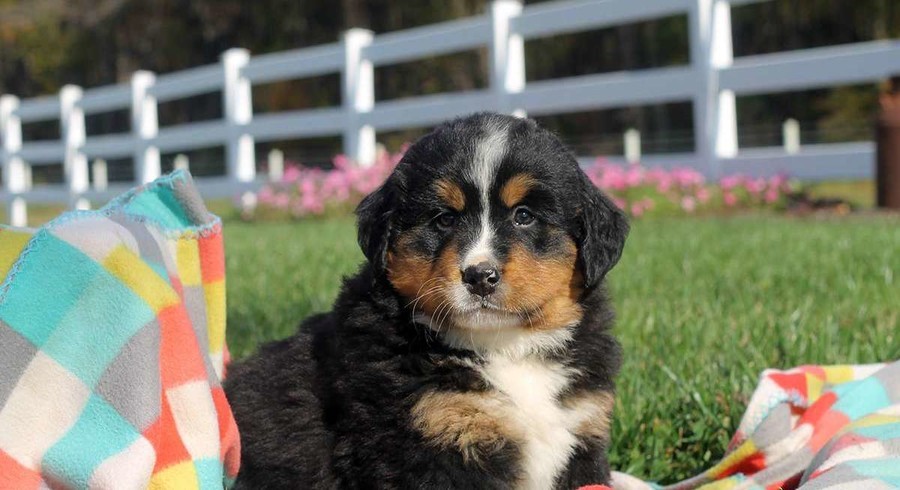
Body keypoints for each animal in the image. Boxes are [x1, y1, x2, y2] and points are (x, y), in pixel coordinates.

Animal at [224, 113, 628, 488]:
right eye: (444, 219)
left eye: (524, 216)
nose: (480, 276)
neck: (505, 347)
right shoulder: (436, 437)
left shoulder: (583, 429)